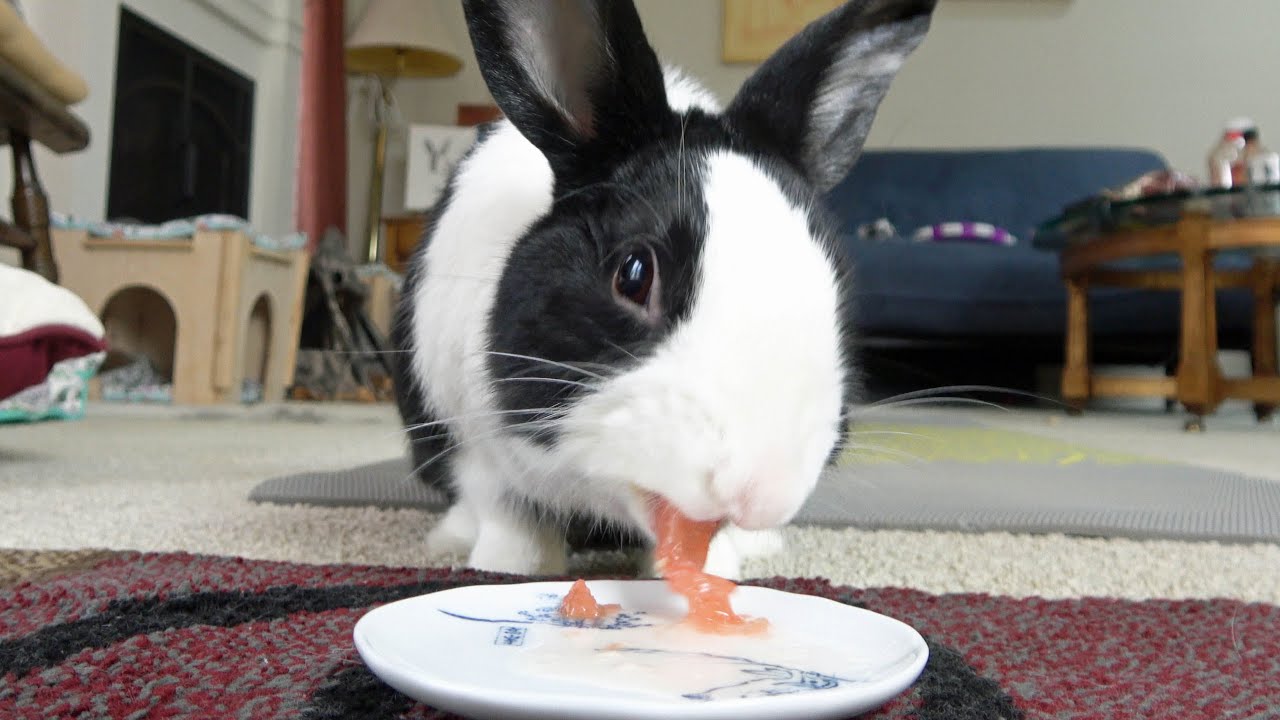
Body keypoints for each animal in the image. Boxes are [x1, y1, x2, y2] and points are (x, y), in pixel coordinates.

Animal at [390, 0, 937, 577]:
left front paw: (719, 570)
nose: (762, 493)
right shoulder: (477, 453)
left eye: (836, 289)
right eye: (633, 274)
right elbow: (513, 522)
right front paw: (507, 571)